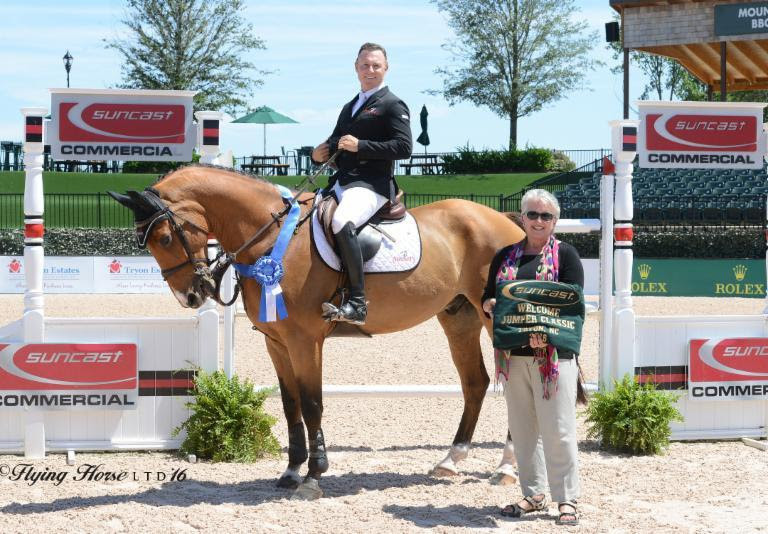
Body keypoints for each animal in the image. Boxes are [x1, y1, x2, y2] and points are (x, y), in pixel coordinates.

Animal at [108, 165, 524, 500]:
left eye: (164, 238)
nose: (191, 296)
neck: (272, 239)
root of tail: (506, 220)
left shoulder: (305, 340)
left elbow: (312, 404)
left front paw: (314, 474)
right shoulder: (276, 342)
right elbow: (290, 403)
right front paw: (291, 471)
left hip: (495, 320)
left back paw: (506, 467)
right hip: (459, 318)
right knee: (475, 383)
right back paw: (450, 461)